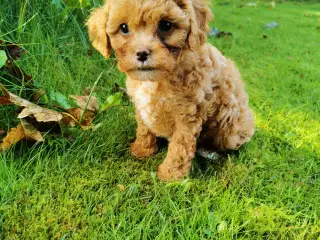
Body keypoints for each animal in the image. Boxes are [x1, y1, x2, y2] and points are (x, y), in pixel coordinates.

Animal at [87, 0, 255, 180]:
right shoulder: (141, 104)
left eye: (165, 25)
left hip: (231, 127)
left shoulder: (187, 114)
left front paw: (171, 174)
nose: (142, 53)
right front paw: (142, 149)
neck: (157, 79)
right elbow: (144, 128)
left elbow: (180, 145)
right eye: (123, 28)